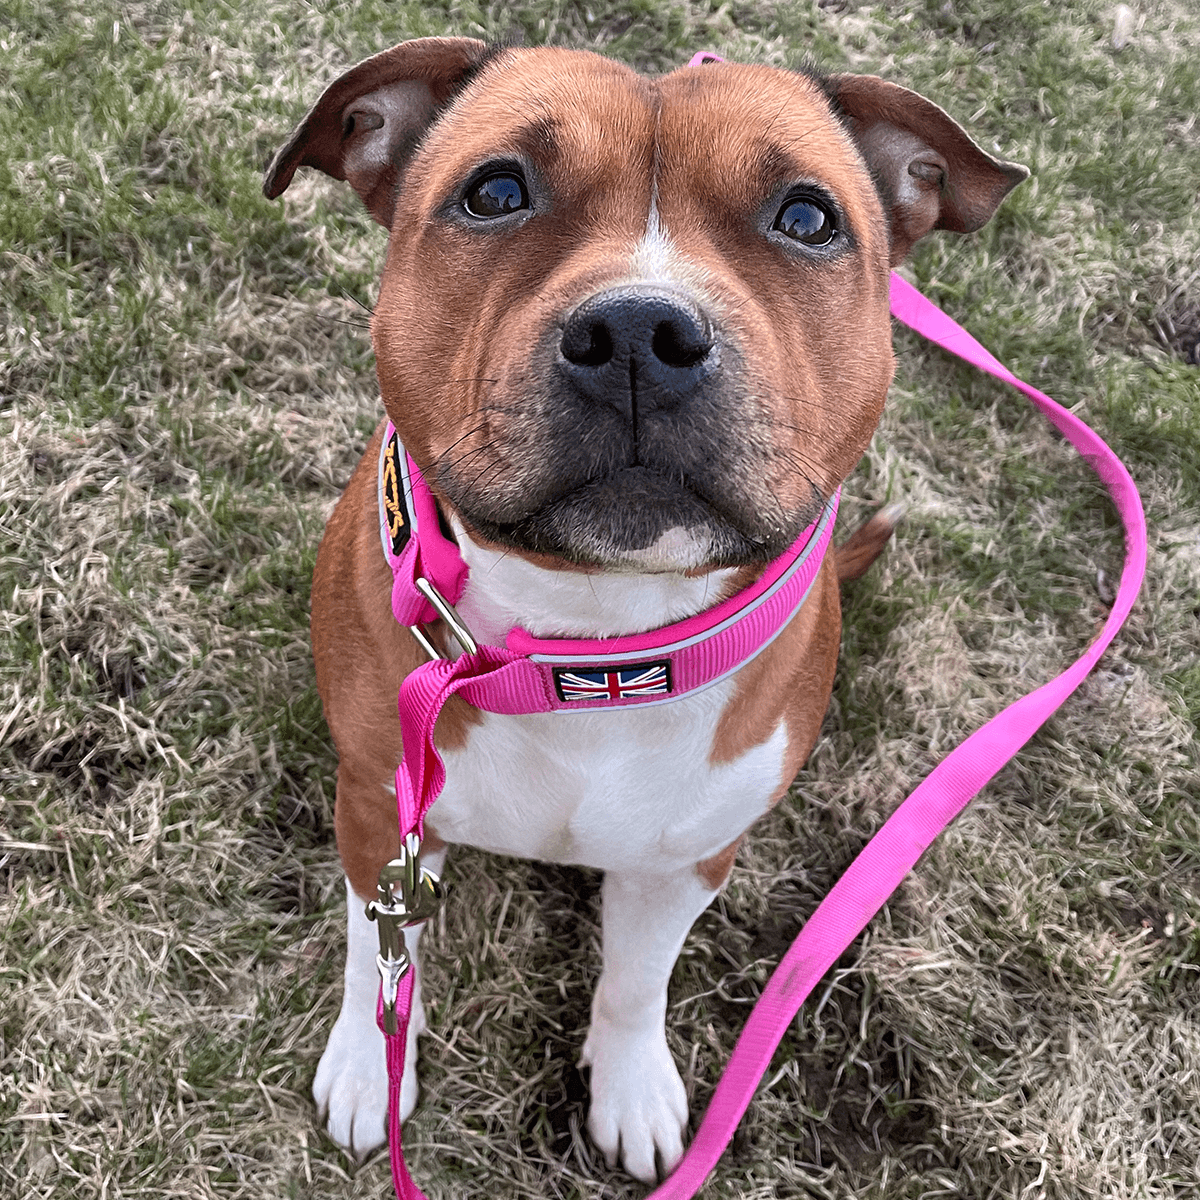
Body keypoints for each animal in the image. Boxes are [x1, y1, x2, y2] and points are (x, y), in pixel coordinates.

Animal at [267, 37, 1027, 1180]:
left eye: (807, 217)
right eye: (496, 191)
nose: (639, 331)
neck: (588, 644)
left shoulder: (688, 859)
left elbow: (637, 980)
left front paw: (630, 1086)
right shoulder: (378, 810)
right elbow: (378, 953)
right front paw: (370, 1067)